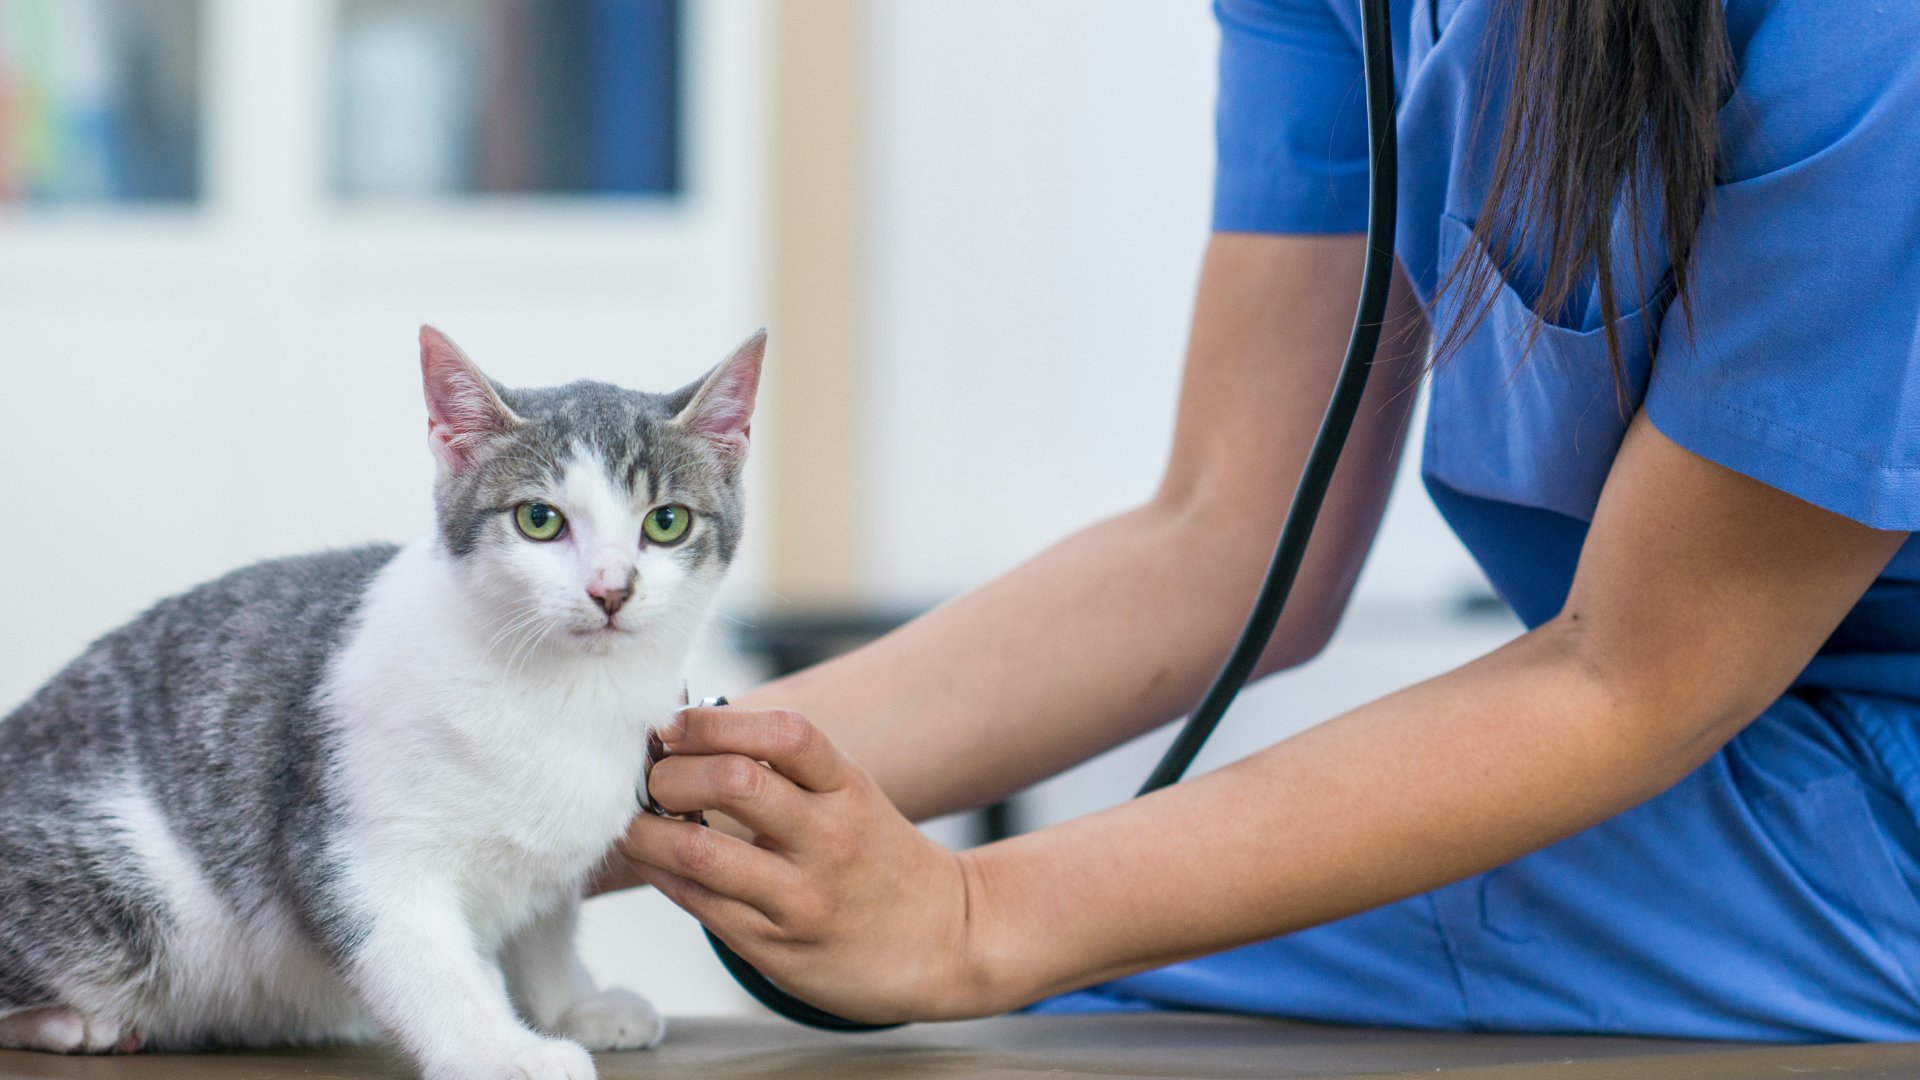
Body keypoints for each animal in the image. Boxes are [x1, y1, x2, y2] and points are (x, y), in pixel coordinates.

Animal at [0, 326, 760, 1076]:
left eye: (666, 522)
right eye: (540, 519)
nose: (611, 589)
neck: (565, 693)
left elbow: (548, 924)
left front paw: (571, 1002)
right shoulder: (355, 848)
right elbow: (419, 957)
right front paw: (498, 1047)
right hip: (129, 890)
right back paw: (71, 1024)